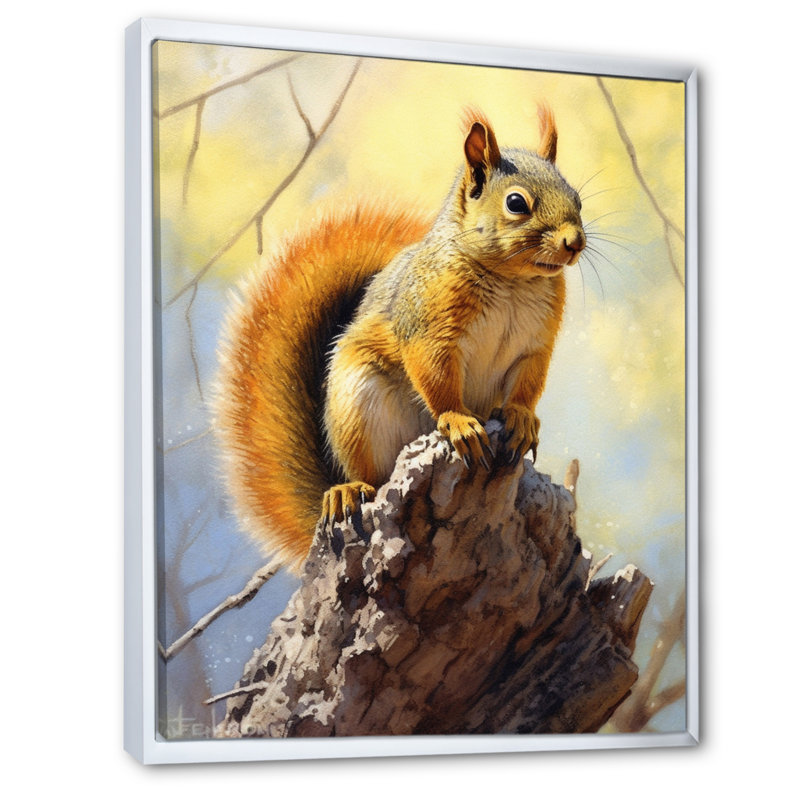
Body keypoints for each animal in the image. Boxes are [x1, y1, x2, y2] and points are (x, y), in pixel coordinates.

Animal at [214, 106, 585, 574]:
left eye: (577, 198)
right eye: (516, 203)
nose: (575, 242)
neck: (514, 281)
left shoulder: (535, 346)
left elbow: (527, 385)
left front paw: (520, 418)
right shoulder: (428, 329)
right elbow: (436, 377)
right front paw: (458, 421)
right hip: (358, 407)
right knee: (369, 476)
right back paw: (348, 490)